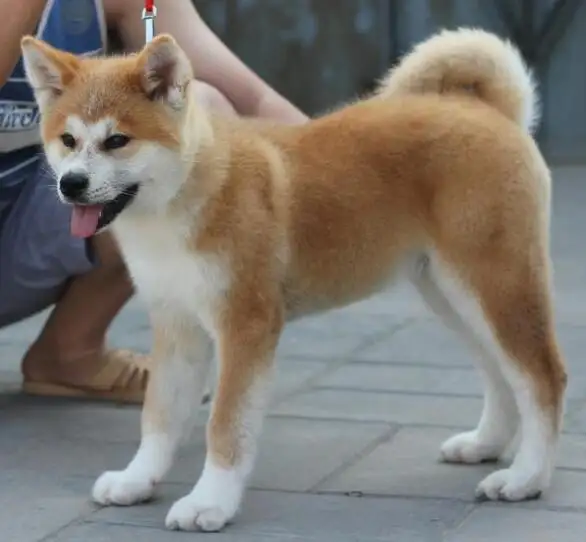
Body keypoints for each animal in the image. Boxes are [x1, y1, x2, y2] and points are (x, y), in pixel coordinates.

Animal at [21, 27, 564, 532]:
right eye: (68, 140)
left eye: (117, 140)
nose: (71, 184)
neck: (186, 198)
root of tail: (489, 111)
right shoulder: (177, 326)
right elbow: (158, 417)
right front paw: (138, 479)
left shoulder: (246, 325)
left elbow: (225, 425)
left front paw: (209, 502)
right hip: (453, 295)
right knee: (499, 374)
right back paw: (486, 445)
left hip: (496, 285)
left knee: (542, 378)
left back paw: (525, 478)